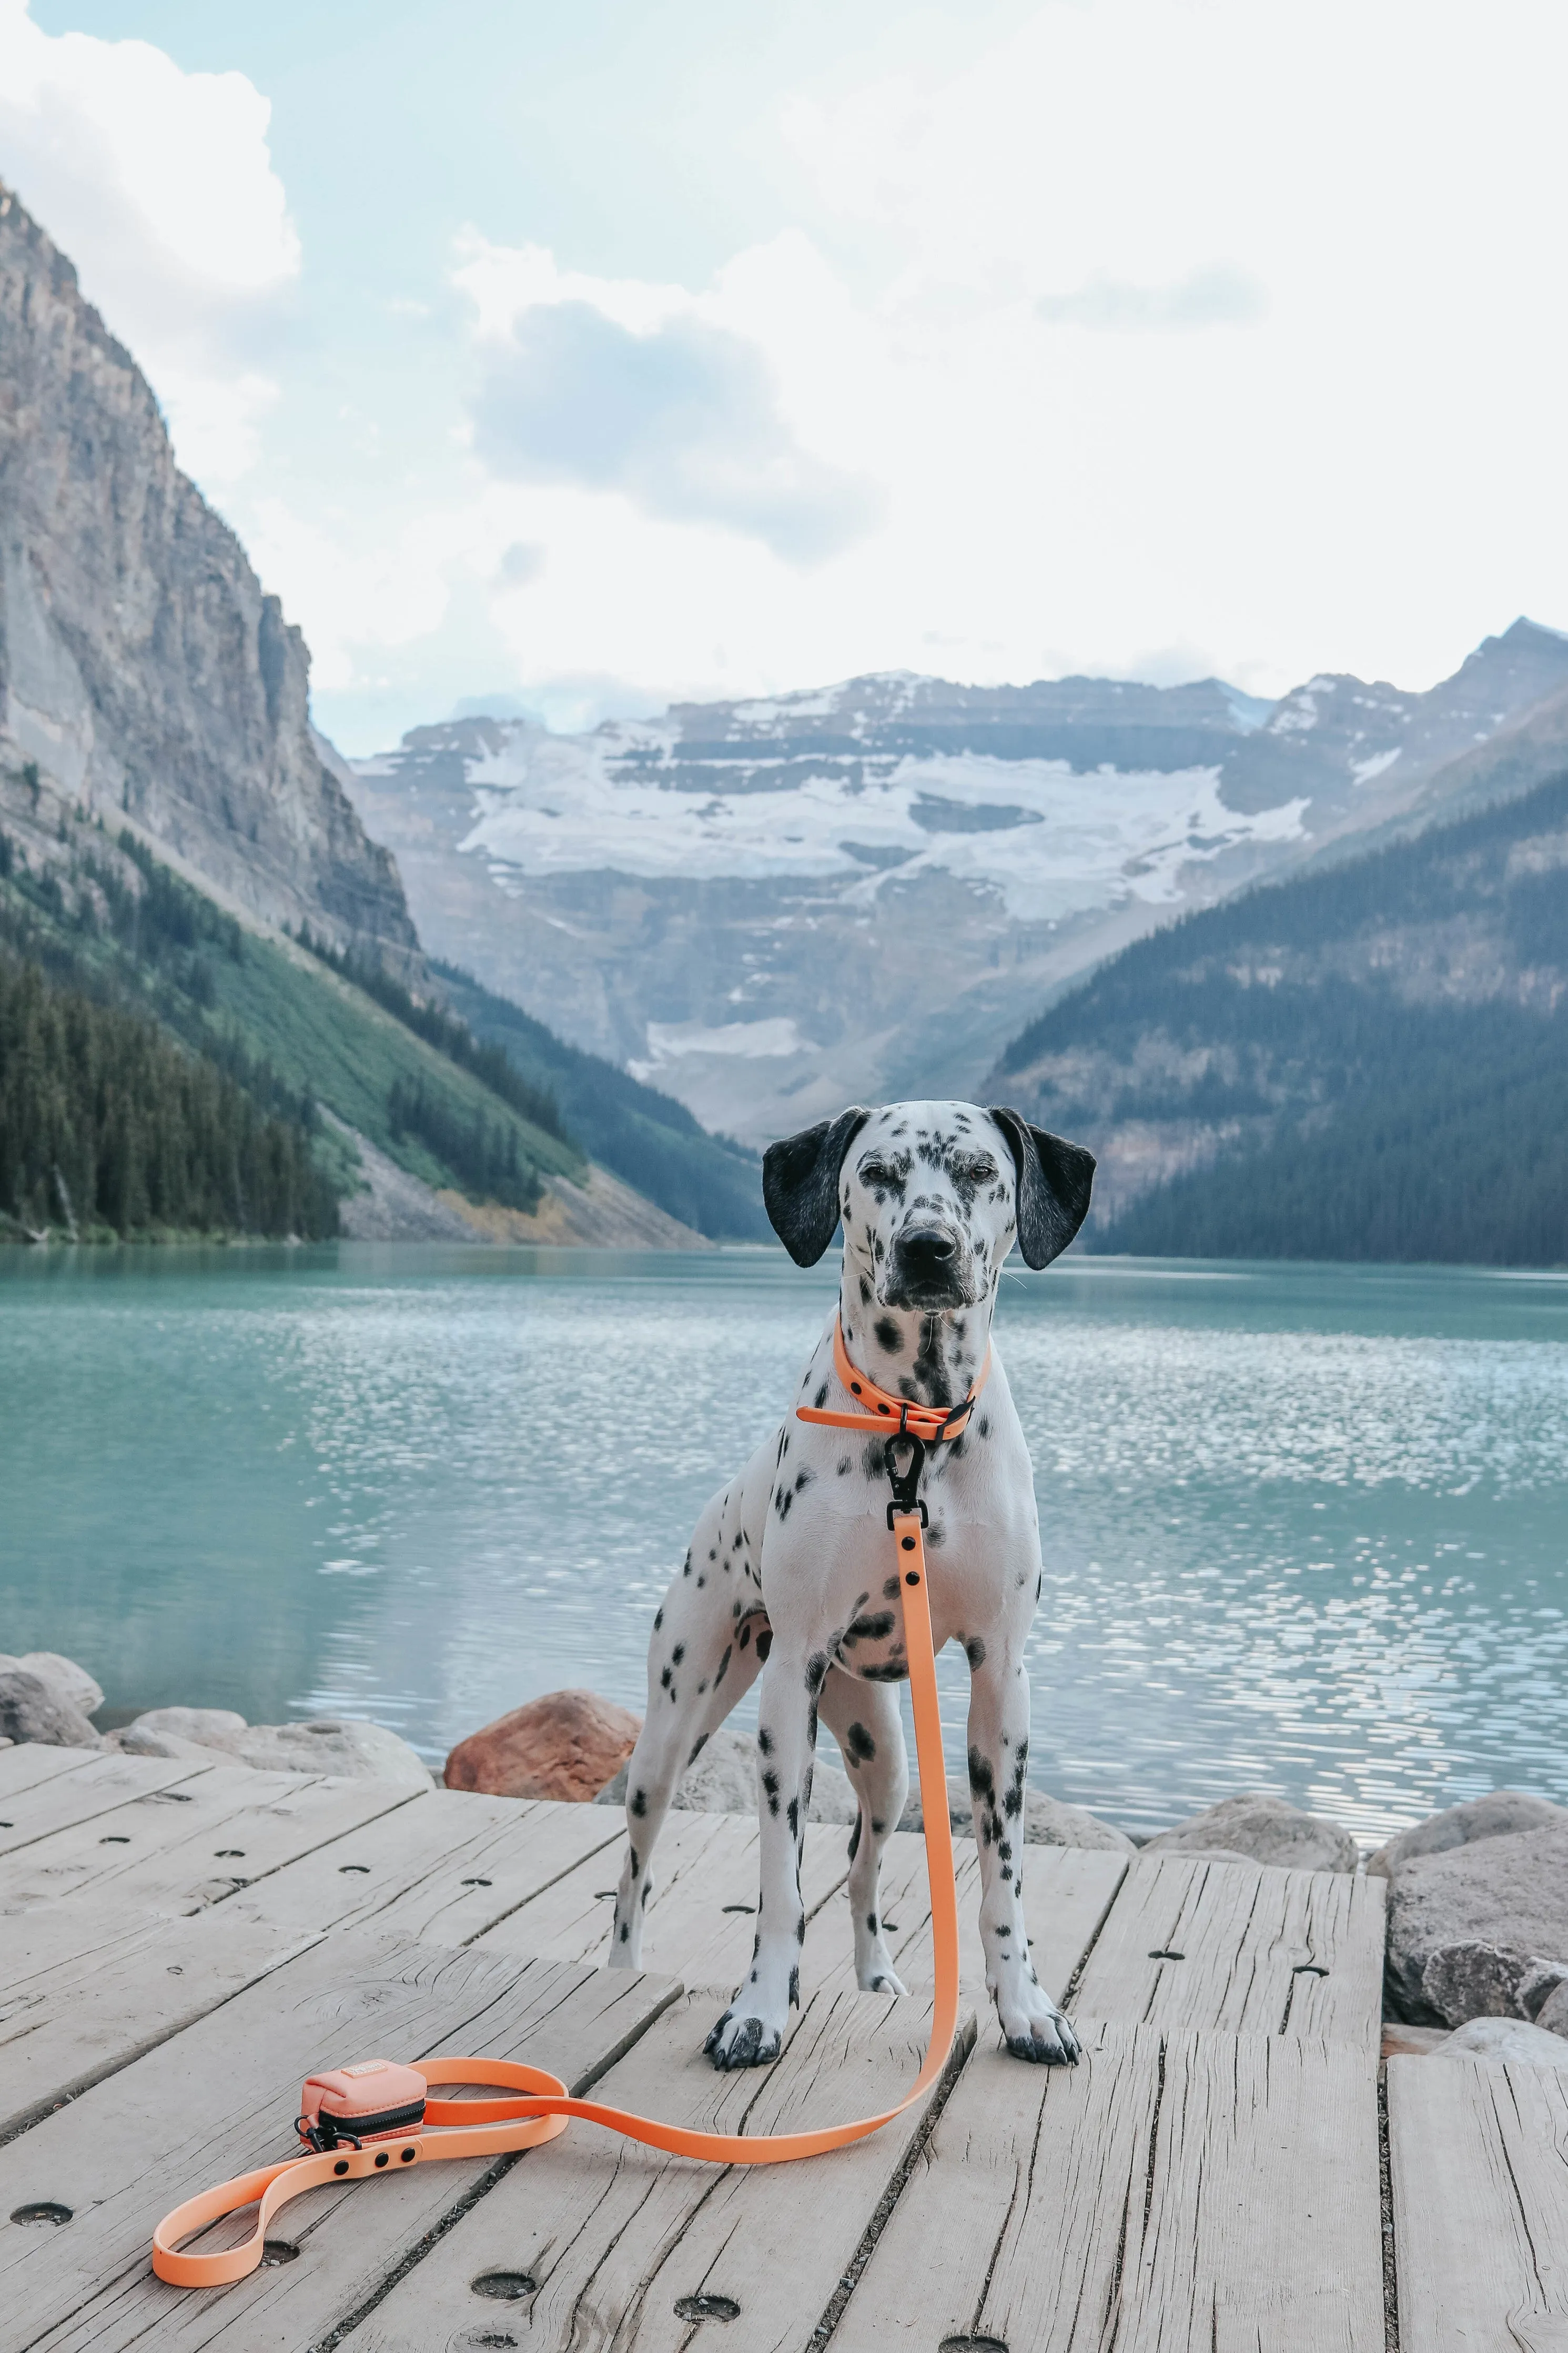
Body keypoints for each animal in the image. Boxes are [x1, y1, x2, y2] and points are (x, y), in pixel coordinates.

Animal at [606, 1092, 1100, 2070]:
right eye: (876, 1173)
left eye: (981, 1173)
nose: (928, 1246)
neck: (916, 1428)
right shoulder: (790, 1681)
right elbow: (780, 1885)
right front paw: (759, 2008)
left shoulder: (1001, 1681)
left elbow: (1002, 1883)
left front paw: (1026, 2007)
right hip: (671, 1734)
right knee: (634, 1878)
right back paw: (622, 1973)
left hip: (887, 1761)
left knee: (863, 1869)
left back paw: (877, 1978)